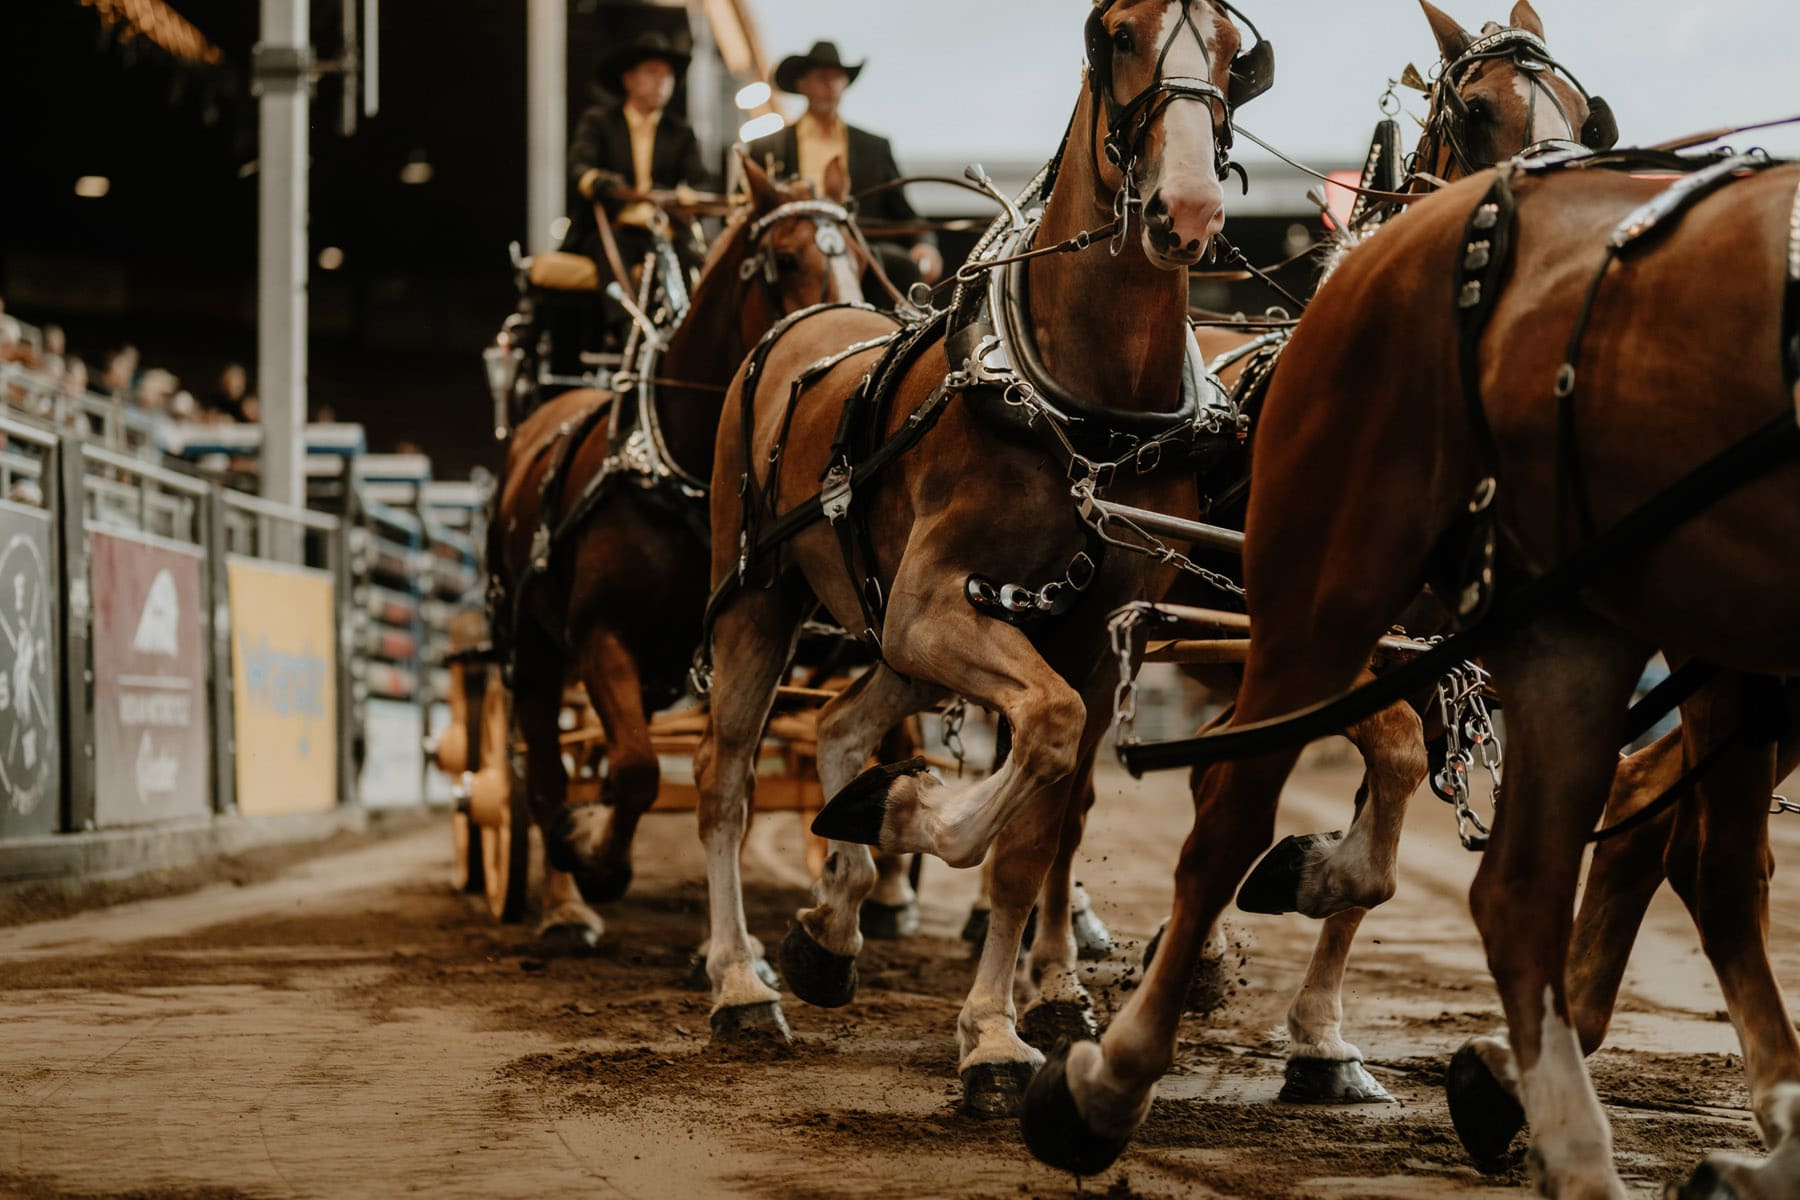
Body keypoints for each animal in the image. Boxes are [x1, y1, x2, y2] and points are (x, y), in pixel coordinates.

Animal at [489, 159, 860, 928]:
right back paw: (567, 900)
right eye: (784, 259)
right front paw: (600, 859)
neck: (676, 470)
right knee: (542, 769)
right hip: (531, 644)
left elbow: (729, 780)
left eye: (861, 261)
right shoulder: (599, 636)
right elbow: (635, 769)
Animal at [694, 0, 1260, 1115]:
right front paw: (920, 815)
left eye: (1231, 49)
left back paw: (833, 921)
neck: (1086, 411)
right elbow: (1036, 748)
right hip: (760, 602)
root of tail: (800, 324)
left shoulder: (1089, 637)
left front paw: (999, 1026)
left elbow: (1041, 826)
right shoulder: (932, 607)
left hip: (893, 640)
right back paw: (741, 980)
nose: (1186, 206)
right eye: (1118, 34)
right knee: (724, 777)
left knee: (840, 724)